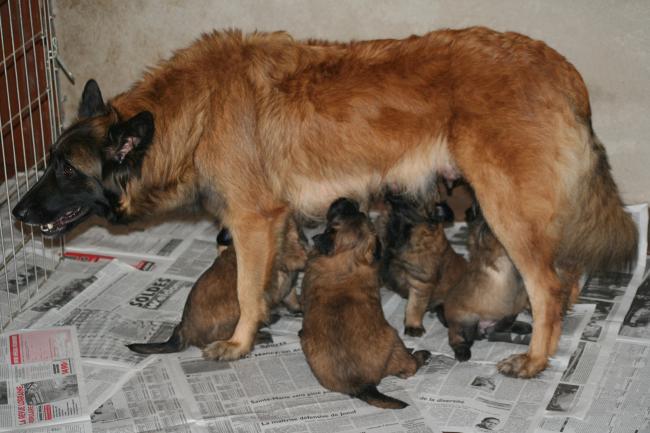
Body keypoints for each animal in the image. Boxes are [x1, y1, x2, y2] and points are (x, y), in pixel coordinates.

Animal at [298, 199, 430, 408]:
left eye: (354, 212)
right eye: (346, 213)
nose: (345, 199)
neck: (347, 260)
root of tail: (362, 384)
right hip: (395, 341)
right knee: (409, 367)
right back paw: (420, 355)